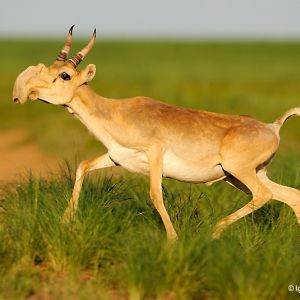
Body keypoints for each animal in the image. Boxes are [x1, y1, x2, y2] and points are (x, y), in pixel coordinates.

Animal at [12, 27, 300, 240]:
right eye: (49, 69)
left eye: (65, 75)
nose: (27, 91)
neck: (116, 111)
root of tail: (272, 127)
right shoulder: (116, 157)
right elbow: (83, 165)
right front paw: (65, 222)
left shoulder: (155, 155)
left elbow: (155, 194)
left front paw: (172, 240)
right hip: (243, 176)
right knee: (291, 196)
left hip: (239, 172)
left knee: (264, 195)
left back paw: (215, 231)